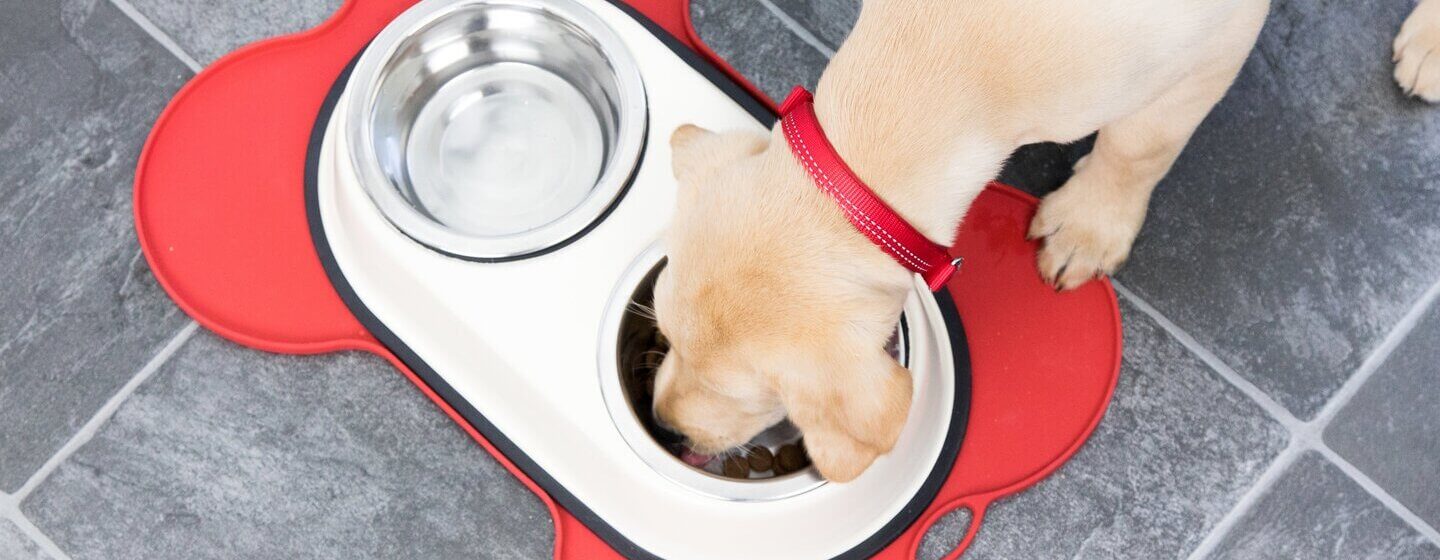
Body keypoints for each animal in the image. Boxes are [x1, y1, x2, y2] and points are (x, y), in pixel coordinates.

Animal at [650, 0, 1440, 480]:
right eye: (664, 332)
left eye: (743, 393)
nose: (663, 426)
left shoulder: (1214, 46)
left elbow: (1140, 145)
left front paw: (1091, 223)